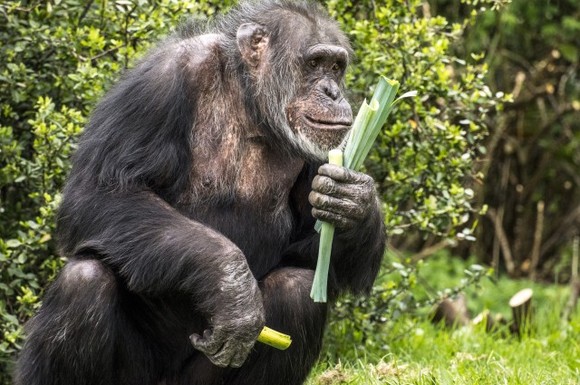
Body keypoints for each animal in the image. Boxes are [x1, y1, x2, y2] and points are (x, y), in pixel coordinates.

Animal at [13, 0, 386, 384]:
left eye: (336, 67)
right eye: (314, 63)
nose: (333, 91)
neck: (250, 102)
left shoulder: (325, 149)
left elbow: (321, 255)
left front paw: (353, 202)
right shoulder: (157, 85)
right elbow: (100, 193)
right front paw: (233, 290)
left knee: (296, 290)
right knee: (83, 283)